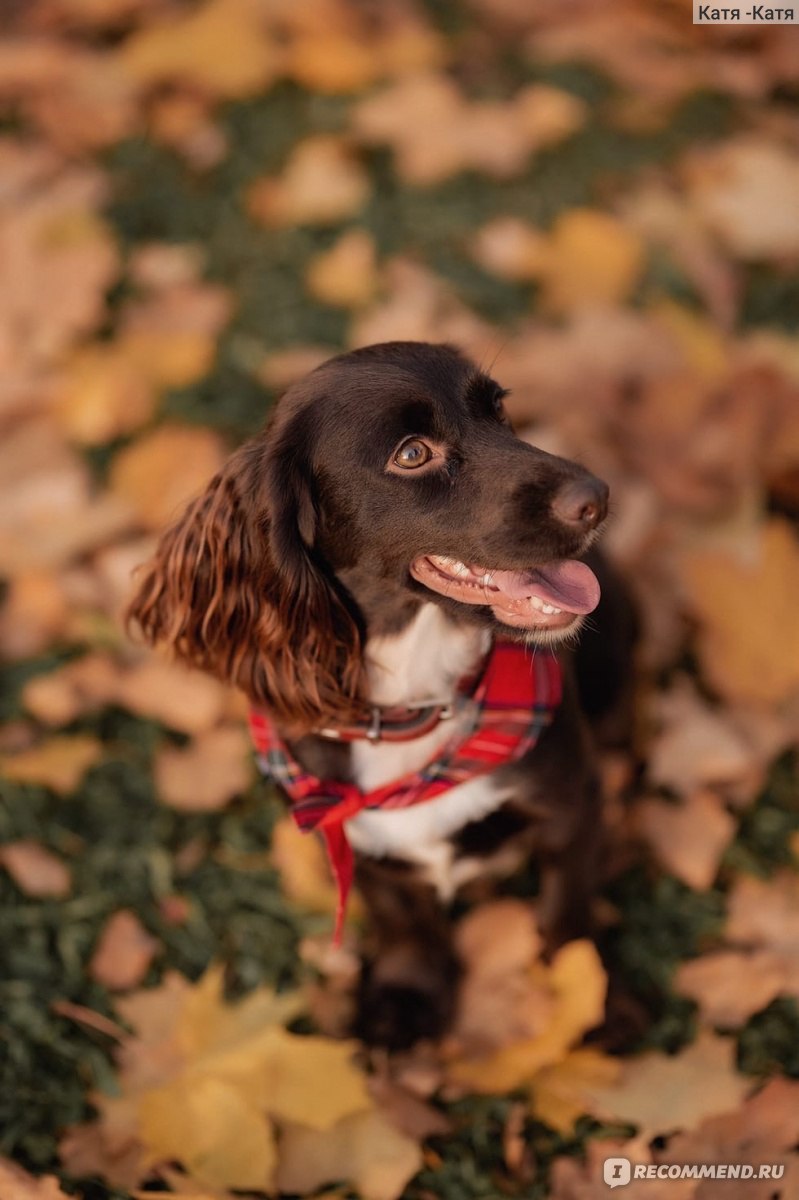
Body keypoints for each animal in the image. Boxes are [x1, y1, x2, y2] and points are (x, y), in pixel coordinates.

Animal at [125, 340, 633, 1051]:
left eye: (499, 411)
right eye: (412, 453)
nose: (597, 497)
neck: (413, 706)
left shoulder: (570, 800)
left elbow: (568, 914)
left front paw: (595, 1003)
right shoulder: (346, 829)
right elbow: (402, 920)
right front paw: (405, 996)